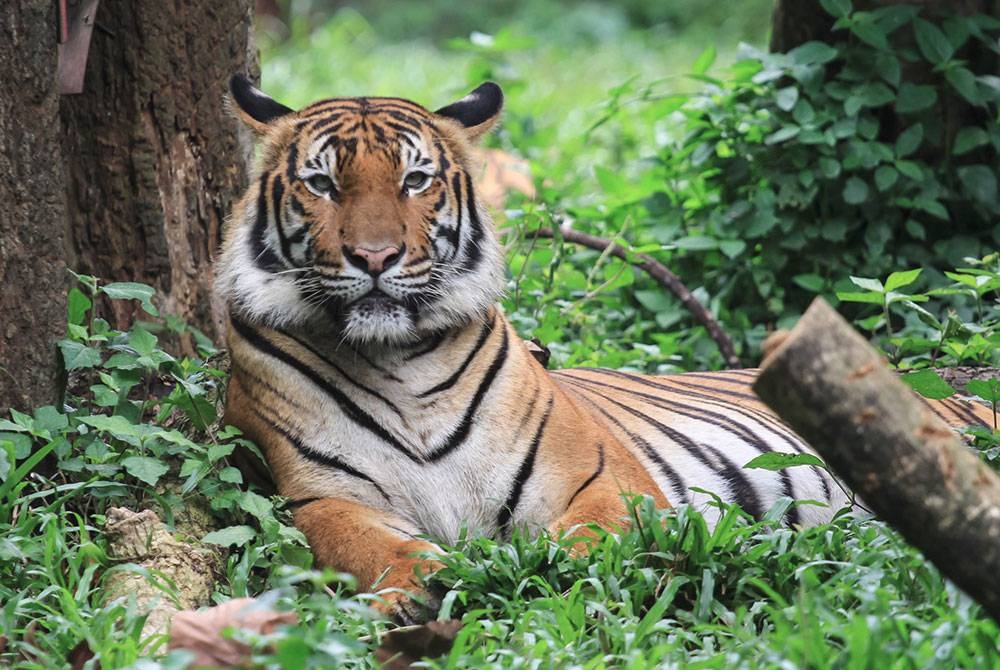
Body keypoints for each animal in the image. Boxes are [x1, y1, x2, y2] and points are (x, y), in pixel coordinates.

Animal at [217, 75, 992, 624]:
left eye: (415, 180)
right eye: (323, 184)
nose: (374, 258)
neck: (397, 357)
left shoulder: (601, 477)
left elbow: (591, 543)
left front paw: (539, 577)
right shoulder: (318, 494)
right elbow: (363, 545)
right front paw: (422, 588)